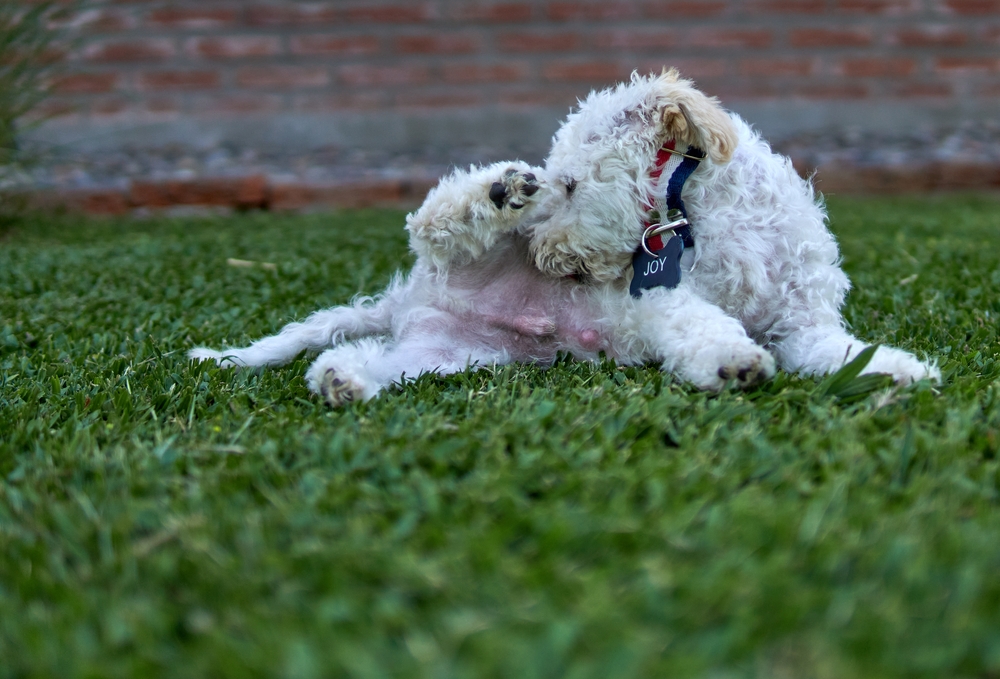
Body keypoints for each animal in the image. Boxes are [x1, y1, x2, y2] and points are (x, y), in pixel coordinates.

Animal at [193, 69, 936, 404]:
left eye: (574, 185)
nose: (547, 257)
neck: (720, 221)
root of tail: (411, 301)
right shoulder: (662, 296)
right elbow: (700, 323)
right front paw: (733, 361)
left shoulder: (803, 321)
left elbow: (839, 350)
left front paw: (900, 370)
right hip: (460, 256)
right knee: (433, 221)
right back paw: (495, 193)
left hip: (443, 357)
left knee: (362, 358)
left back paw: (342, 378)